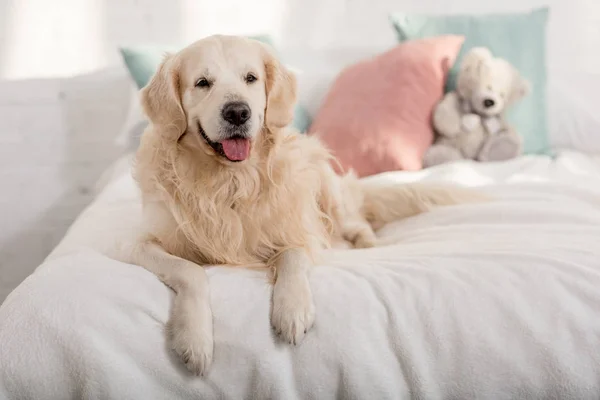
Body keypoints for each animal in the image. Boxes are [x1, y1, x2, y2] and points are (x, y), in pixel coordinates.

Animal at [129, 34, 486, 376]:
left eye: (251, 78)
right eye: (203, 82)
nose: (238, 112)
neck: (230, 182)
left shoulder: (300, 229)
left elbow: (293, 257)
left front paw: (292, 310)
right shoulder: (137, 244)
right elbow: (190, 271)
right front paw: (195, 339)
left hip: (326, 182)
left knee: (356, 222)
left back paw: (365, 242)